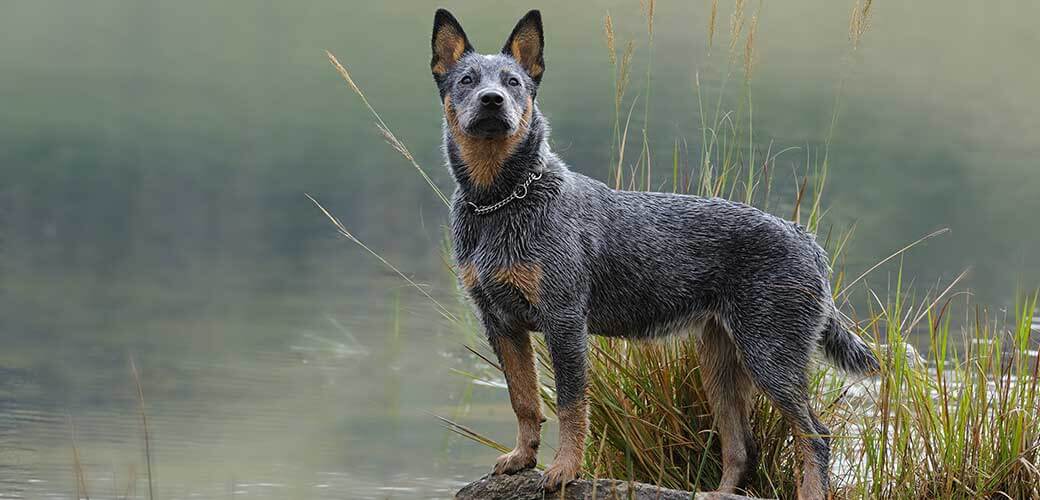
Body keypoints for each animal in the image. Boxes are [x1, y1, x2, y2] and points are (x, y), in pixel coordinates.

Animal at [430, 9, 877, 496]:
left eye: (513, 82)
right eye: (467, 80)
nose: (492, 100)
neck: (501, 201)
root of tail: (806, 239)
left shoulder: (563, 321)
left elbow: (571, 404)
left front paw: (564, 469)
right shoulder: (501, 323)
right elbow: (523, 400)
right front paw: (522, 458)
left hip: (771, 355)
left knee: (815, 434)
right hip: (721, 363)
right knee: (743, 445)